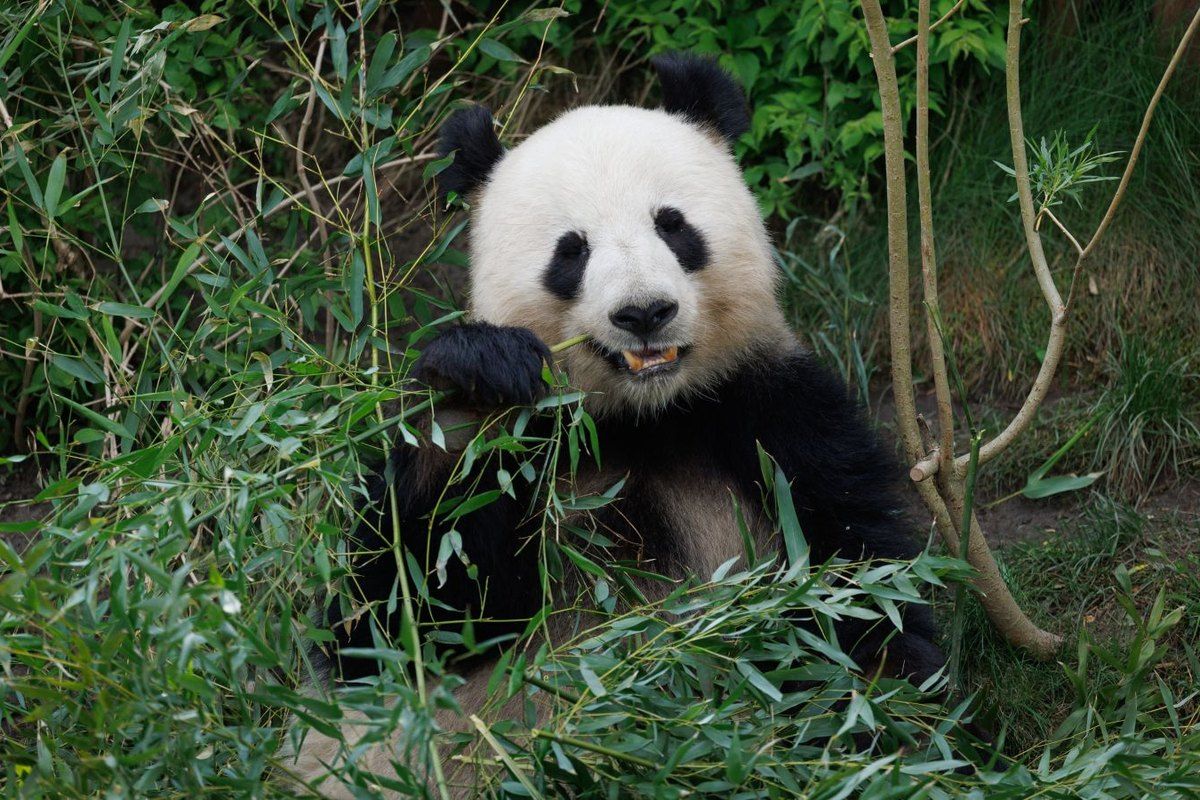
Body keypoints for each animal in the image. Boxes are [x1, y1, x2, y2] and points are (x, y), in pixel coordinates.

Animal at [294, 52, 944, 794]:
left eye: (672, 223)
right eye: (571, 250)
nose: (644, 312)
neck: (643, 417)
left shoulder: (773, 415)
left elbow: (858, 584)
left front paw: (882, 717)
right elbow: (395, 625)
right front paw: (479, 376)